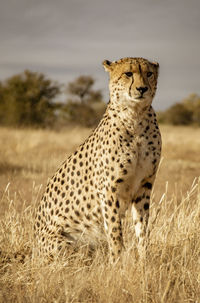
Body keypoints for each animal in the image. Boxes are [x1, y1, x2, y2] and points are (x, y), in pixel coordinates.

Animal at [34, 57, 161, 264]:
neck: (135, 117)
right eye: (128, 73)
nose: (142, 89)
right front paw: (117, 263)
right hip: (63, 243)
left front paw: (144, 261)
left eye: (149, 73)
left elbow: (143, 229)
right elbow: (115, 231)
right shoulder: (109, 189)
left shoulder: (144, 186)